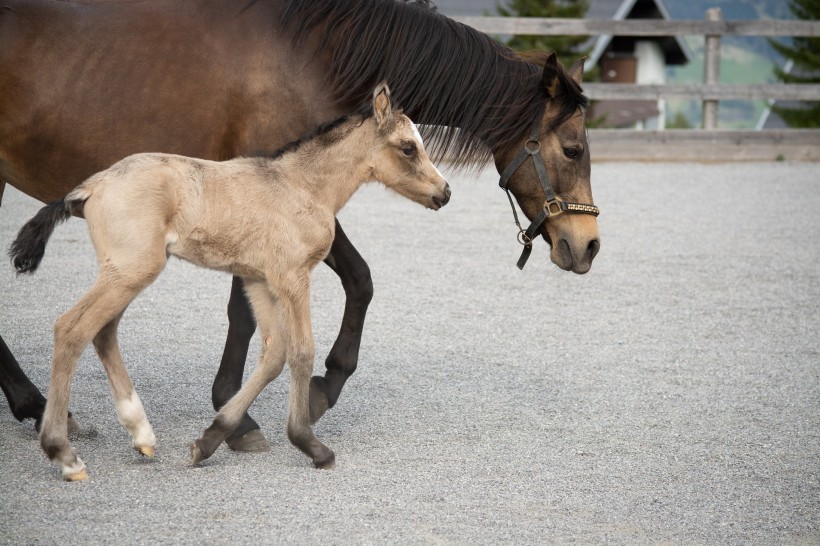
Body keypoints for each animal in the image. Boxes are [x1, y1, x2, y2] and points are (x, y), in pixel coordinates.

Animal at [1, 0, 604, 446]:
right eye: (574, 150)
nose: (589, 246)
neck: (314, 53)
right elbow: (316, 294)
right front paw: (272, 405)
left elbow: (332, 288)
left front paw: (268, 402)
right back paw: (44, 409)